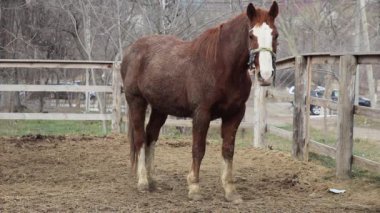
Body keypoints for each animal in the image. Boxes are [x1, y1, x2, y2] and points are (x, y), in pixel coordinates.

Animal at [121, 1, 280, 201]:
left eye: (275, 34)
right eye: (251, 35)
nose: (265, 75)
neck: (220, 66)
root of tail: (130, 51)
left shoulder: (235, 114)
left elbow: (228, 149)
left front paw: (230, 191)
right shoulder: (201, 113)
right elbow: (198, 148)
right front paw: (194, 187)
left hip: (160, 108)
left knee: (151, 135)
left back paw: (152, 180)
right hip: (136, 101)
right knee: (140, 138)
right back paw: (142, 181)